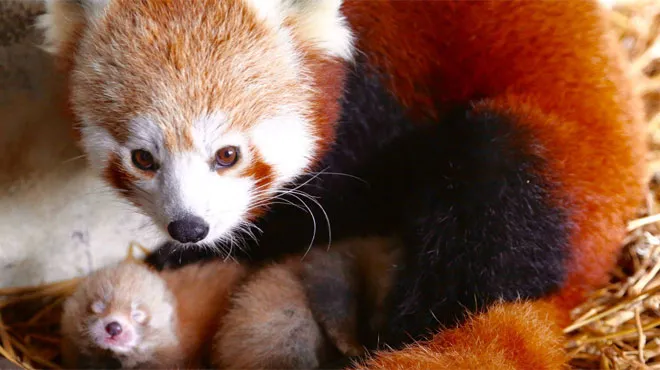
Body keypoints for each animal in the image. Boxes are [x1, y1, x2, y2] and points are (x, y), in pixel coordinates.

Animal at [38, 1, 648, 368]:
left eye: (228, 155)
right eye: (143, 158)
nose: (189, 228)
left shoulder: (380, 99)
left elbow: (345, 201)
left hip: (549, 160)